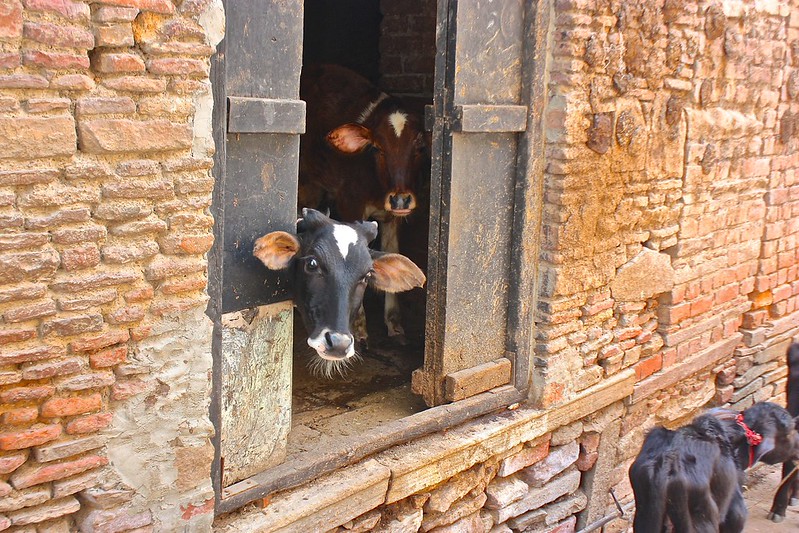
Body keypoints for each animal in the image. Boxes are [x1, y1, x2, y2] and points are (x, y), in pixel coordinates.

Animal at [298, 63, 428, 341]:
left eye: (420, 145)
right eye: (378, 148)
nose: (400, 198)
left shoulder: (393, 217)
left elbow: (394, 254)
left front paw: (394, 322)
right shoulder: (350, 204)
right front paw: (358, 326)